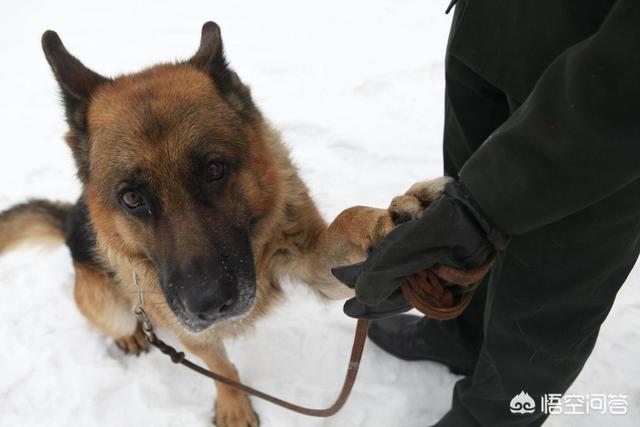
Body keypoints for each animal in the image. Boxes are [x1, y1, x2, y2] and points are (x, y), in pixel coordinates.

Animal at [0, 22, 450, 424]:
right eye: (131, 198)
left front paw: (387, 220)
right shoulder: (189, 330)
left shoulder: (315, 264)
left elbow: (347, 220)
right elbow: (222, 368)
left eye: (214, 169)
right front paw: (234, 405)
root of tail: (70, 220)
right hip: (113, 306)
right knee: (114, 318)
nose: (210, 305)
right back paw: (130, 333)